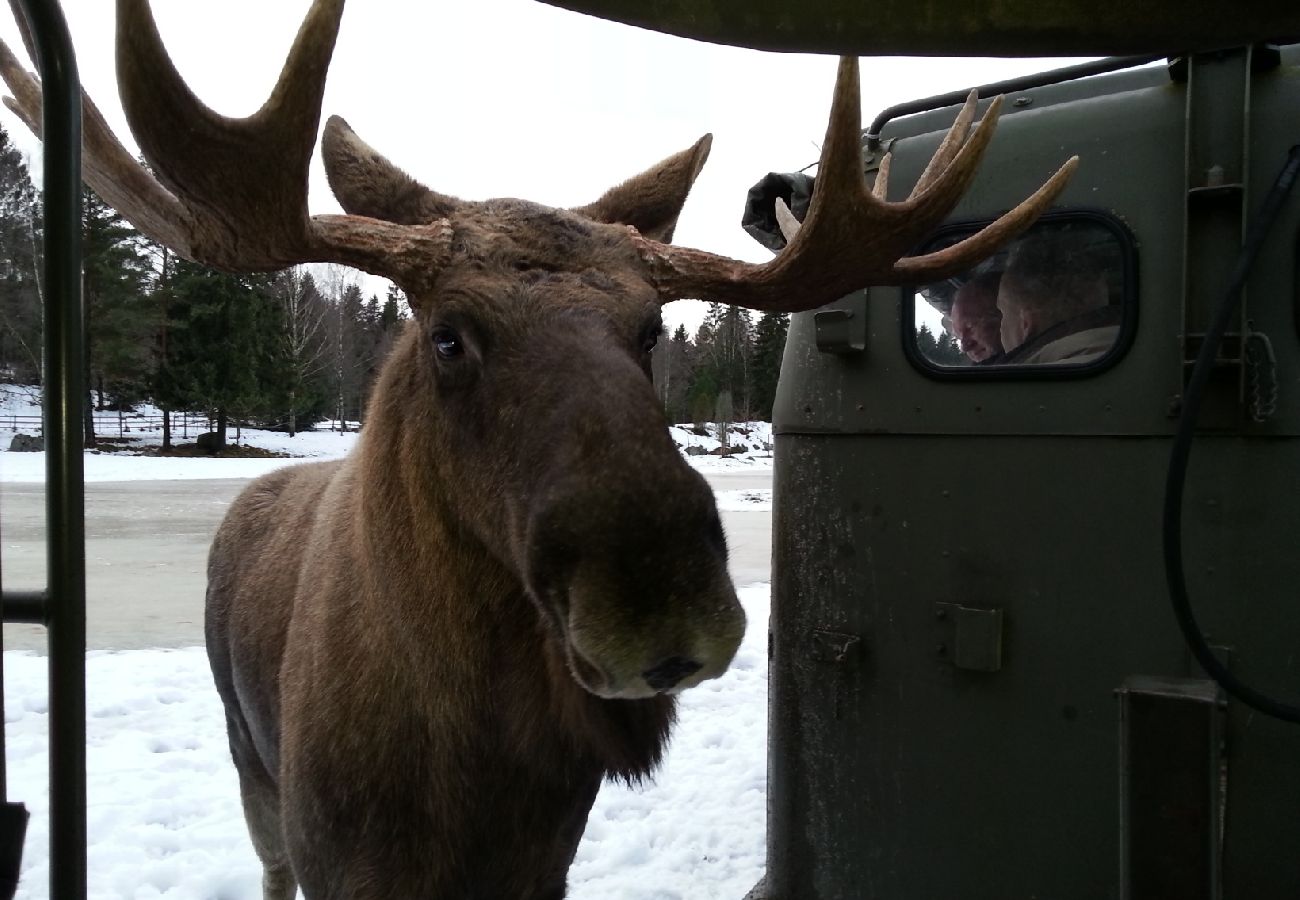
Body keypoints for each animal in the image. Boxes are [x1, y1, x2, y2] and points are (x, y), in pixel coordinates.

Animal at [0, 0, 1071, 894]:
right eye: (447, 336)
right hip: (248, 759)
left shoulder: (543, 859)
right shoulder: (339, 856)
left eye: (651, 330)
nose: (659, 600)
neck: (469, 776)